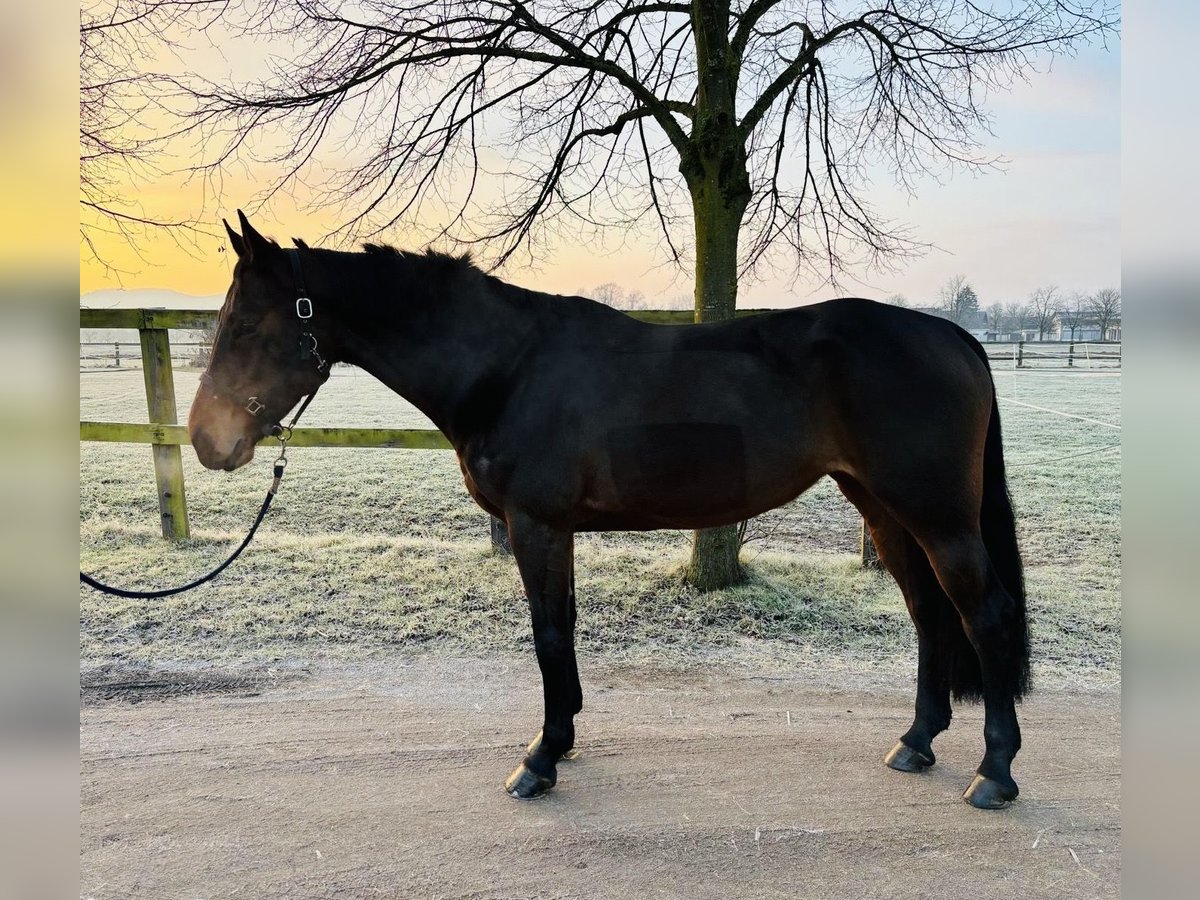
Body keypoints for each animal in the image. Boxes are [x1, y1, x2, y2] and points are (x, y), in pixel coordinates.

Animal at [189, 214, 1032, 816]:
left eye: (248, 324)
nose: (206, 439)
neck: (509, 365)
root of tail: (951, 334)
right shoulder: (552, 529)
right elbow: (561, 630)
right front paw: (559, 741)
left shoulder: (535, 524)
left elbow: (548, 635)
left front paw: (539, 760)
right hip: (885, 511)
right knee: (929, 614)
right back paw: (916, 742)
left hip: (937, 517)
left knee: (981, 615)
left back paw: (994, 772)